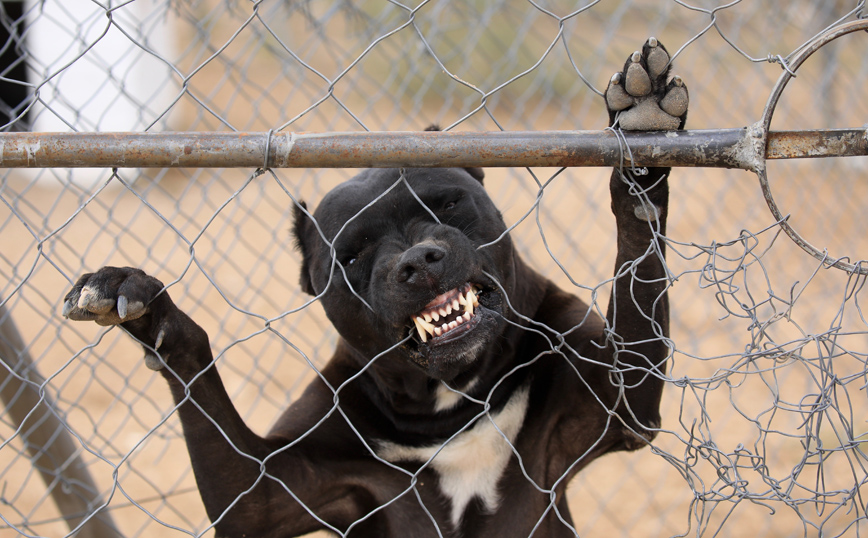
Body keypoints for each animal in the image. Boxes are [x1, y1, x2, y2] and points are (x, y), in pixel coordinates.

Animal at [62, 38, 684, 536]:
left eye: (448, 204)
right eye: (352, 256)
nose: (417, 261)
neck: (452, 404)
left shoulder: (622, 401)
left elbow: (638, 241)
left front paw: (642, 138)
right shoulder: (264, 493)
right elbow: (196, 362)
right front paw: (144, 307)